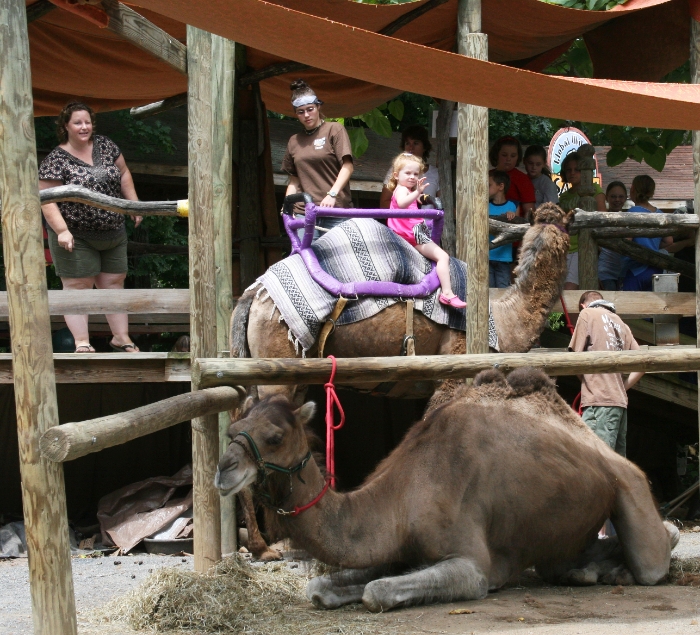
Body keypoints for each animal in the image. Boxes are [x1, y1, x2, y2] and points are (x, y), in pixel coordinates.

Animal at [216, 370, 680, 612]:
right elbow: (320, 587)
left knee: (654, 559)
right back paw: (588, 571)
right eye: (233, 429)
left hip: (628, 486)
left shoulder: (472, 564)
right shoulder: (400, 549)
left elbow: (376, 591)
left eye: (275, 437)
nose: (224, 469)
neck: (398, 498)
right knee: (561, 560)